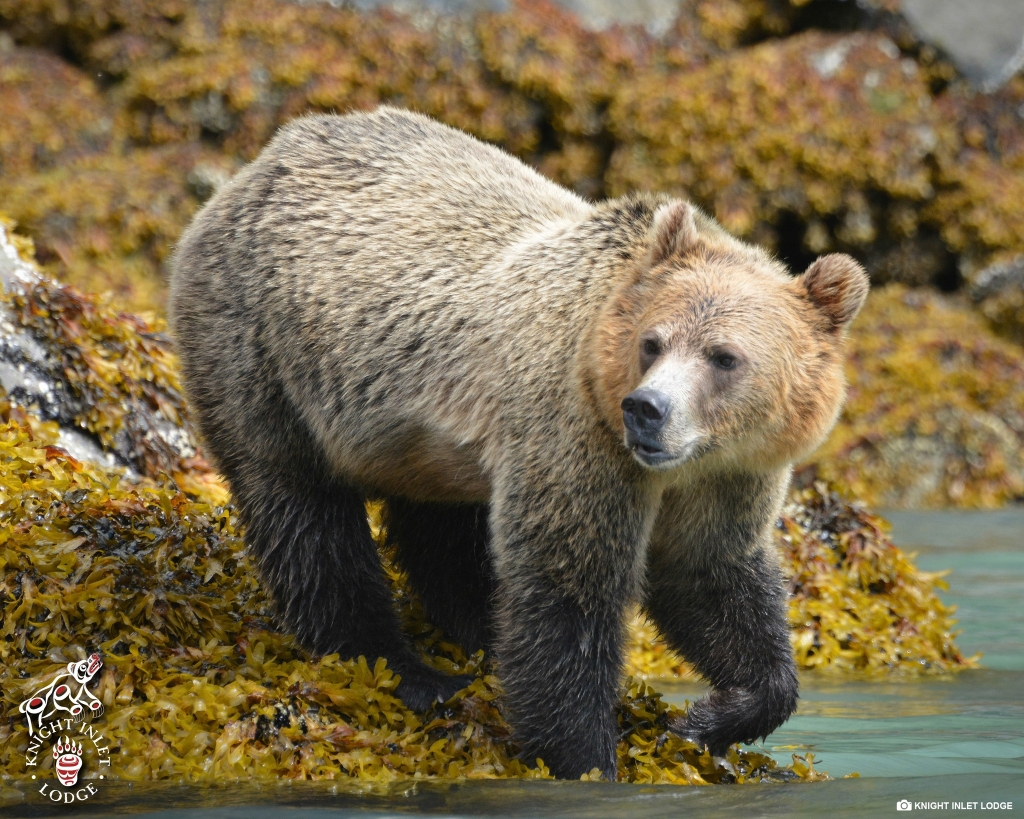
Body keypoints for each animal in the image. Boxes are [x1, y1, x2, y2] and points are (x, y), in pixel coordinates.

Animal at [172, 106, 868, 782]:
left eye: (724, 357)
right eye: (654, 342)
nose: (646, 411)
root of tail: (258, 164)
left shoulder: (726, 476)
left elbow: (711, 576)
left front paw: (709, 717)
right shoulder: (576, 431)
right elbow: (566, 594)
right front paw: (588, 758)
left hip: (424, 439)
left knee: (439, 525)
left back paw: (474, 635)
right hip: (261, 346)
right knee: (304, 514)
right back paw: (406, 669)